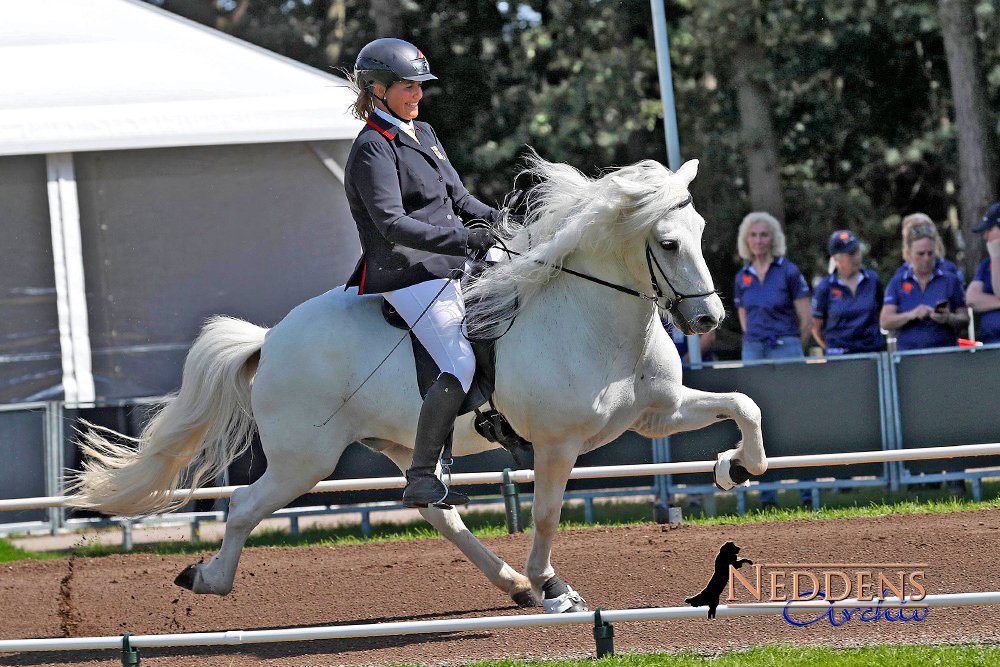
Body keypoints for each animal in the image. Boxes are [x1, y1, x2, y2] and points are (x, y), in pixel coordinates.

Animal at [70, 157, 764, 616]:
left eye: (702, 233)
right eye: (668, 243)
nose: (708, 320)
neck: (592, 316)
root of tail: (270, 340)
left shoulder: (658, 414)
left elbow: (744, 404)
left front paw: (735, 468)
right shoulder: (556, 444)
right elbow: (545, 514)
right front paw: (553, 590)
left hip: (402, 445)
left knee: (433, 505)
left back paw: (510, 583)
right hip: (304, 460)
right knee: (243, 506)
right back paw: (208, 580)